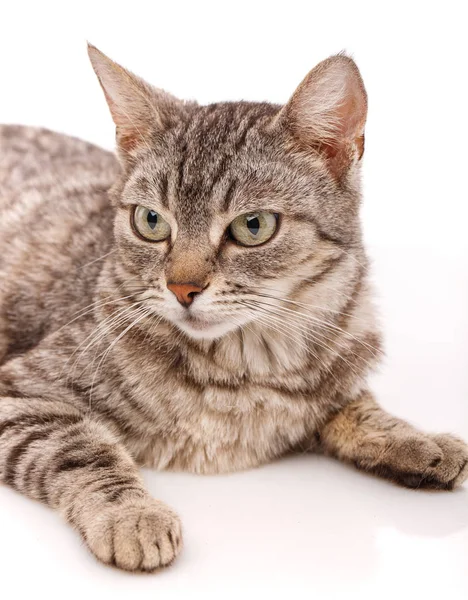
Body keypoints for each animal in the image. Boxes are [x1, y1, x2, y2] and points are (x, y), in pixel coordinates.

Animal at [0, 43, 466, 572]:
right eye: (151, 221)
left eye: (253, 225)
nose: (182, 287)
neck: (249, 366)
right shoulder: (22, 392)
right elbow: (82, 449)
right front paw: (131, 515)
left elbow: (358, 407)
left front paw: (418, 440)